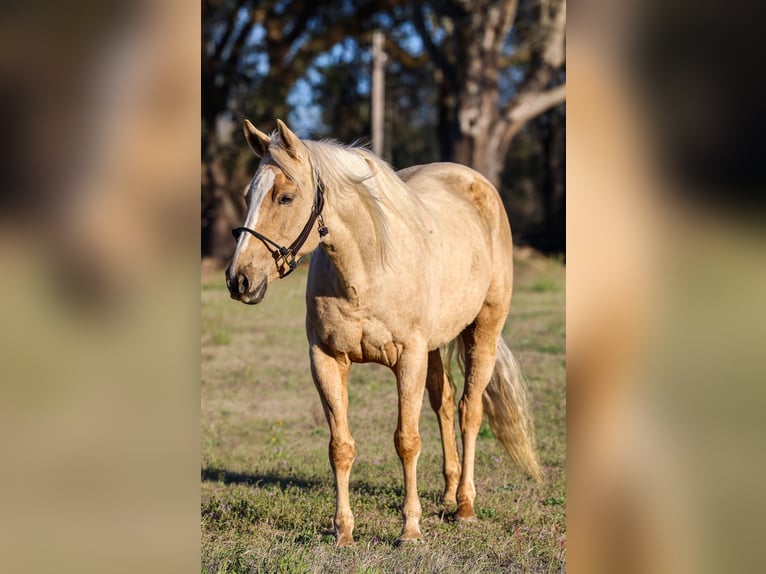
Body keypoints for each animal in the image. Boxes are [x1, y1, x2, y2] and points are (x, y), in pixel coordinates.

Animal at [225, 119, 541, 546]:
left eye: (286, 197)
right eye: (248, 195)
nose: (239, 279)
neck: (366, 270)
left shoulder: (408, 359)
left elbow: (407, 441)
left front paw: (410, 529)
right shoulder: (326, 360)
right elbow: (340, 446)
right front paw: (343, 531)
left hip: (483, 334)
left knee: (469, 411)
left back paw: (465, 505)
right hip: (435, 347)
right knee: (445, 404)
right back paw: (447, 493)